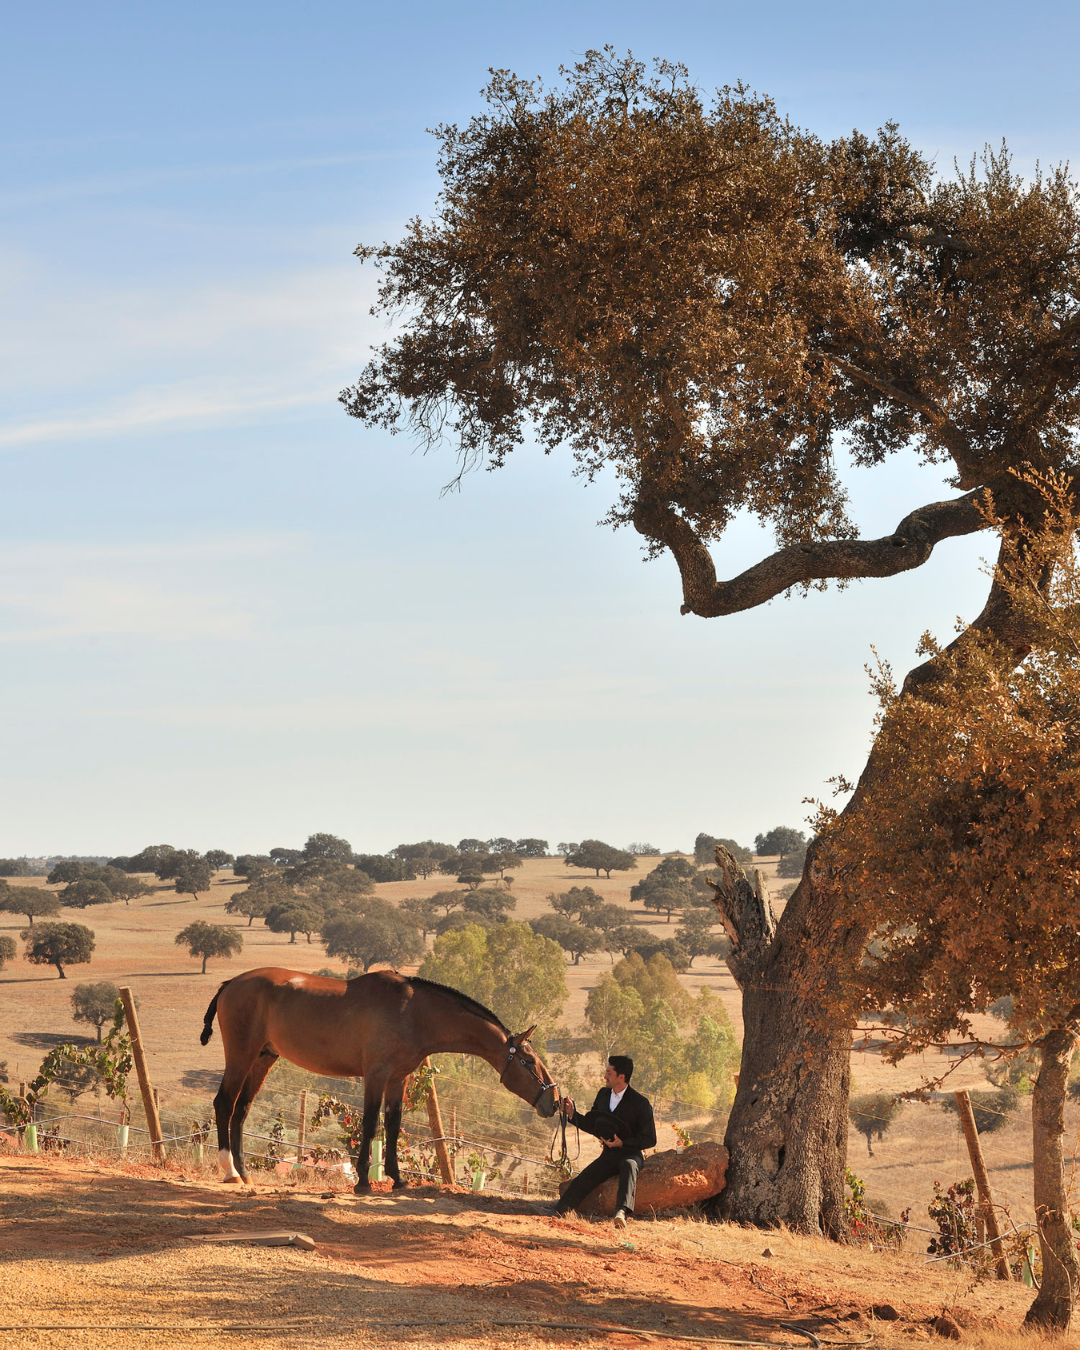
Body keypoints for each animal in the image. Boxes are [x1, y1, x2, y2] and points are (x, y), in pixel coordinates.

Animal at [199, 966, 559, 1189]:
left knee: (241, 1111)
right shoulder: (375, 1074)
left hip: (263, 1058)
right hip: (242, 1055)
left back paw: (244, 1173)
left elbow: (393, 1124)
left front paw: (397, 1178)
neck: (412, 1011)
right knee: (224, 1105)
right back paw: (230, 1172)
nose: (554, 1101)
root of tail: (231, 984)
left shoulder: (398, 1079)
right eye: (528, 1060)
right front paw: (362, 1181)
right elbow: (372, 1123)